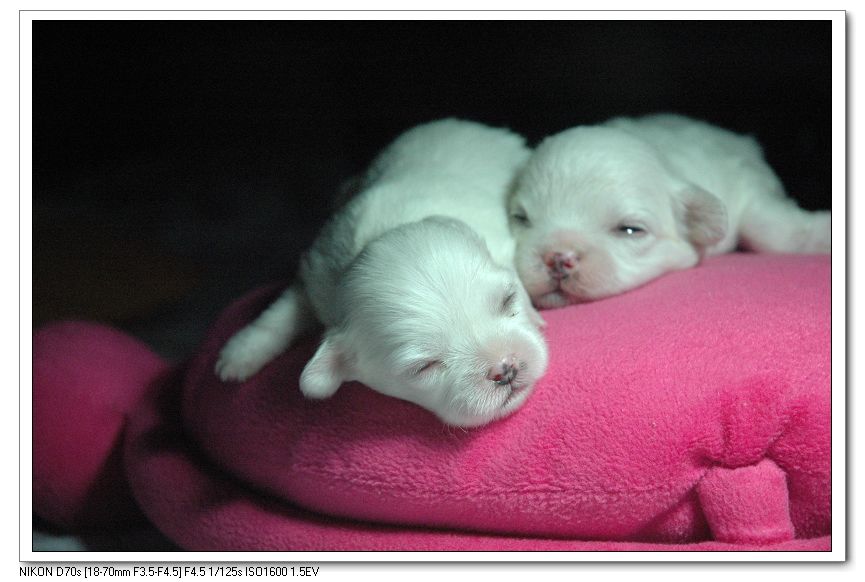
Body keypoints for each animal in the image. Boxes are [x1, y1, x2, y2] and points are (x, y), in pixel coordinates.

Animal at [214, 120, 548, 428]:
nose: (505, 367)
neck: (384, 231)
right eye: (424, 367)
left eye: (508, 301)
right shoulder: (316, 274)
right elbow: (282, 312)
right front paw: (239, 354)